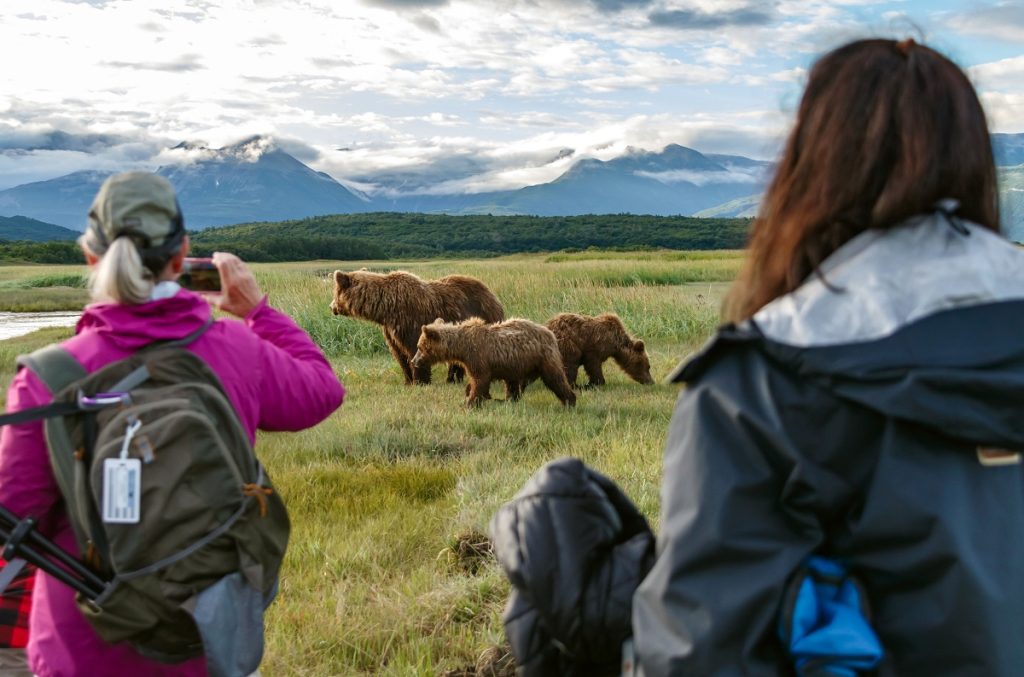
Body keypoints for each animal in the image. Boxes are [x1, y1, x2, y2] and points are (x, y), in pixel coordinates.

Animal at [331, 270, 503, 385]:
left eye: (335, 292)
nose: (331, 307)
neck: (385, 308)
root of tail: (493, 295)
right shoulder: (391, 329)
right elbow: (399, 354)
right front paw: (408, 380)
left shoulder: (410, 319)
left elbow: (414, 348)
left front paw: (420, 380)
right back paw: (453, 379)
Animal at [411, 317, 581, 407]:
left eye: (419, 347)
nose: (414, 361)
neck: (462, 348)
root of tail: (550, 333)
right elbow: (476, 381)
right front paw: (473, 396)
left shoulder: (478, 356)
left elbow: (479, 380)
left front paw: (470, 402)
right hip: (516, 365)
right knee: (512, 384)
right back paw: (508, 400)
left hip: (543, 358)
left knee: (555, 378)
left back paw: (569, 401)